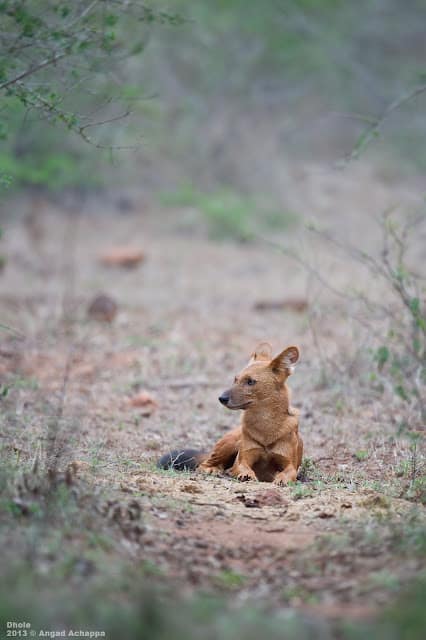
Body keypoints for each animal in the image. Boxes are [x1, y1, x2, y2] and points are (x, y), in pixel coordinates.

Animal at [159, 340, 302, 484]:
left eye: (250, 381)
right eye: (235, 379)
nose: (221, 398)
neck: (265, 425)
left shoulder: (290, 464)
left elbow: (289, 473)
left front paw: (281, 479)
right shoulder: (243, 458)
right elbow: (243, 467)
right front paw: (247, 475)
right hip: (230, 442)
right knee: (205, 464)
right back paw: (214, 470)